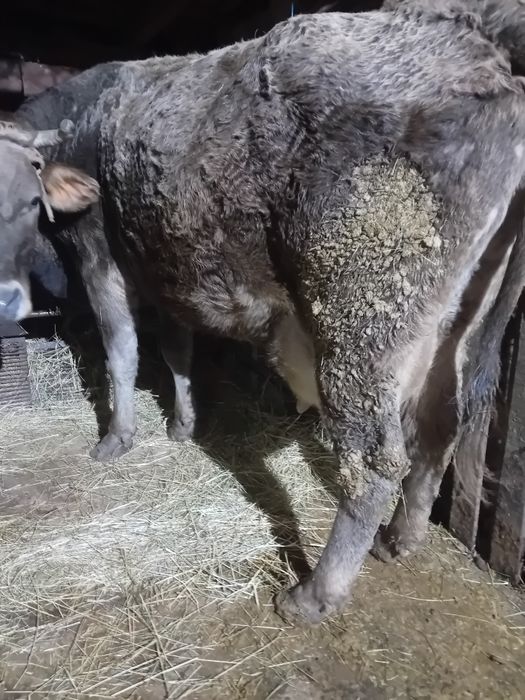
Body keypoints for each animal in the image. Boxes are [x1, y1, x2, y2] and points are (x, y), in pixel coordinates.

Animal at [1, 1, 524, 625]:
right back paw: (401, 539)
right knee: (445, 419)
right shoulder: (166, 263)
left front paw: (117, 438)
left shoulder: (99, 252)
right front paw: (182, 425)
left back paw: (313, 594)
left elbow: (120, 350)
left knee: (374, 460)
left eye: (27, 197)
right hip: (463, 322)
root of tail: (483, 56)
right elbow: (177, 349)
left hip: (362, 315)